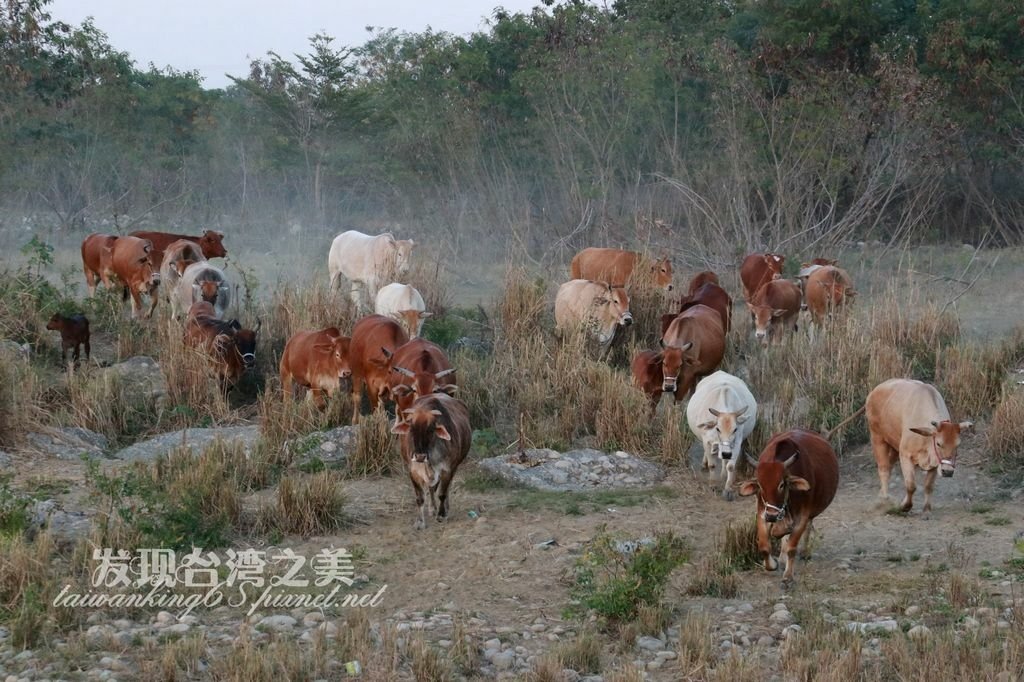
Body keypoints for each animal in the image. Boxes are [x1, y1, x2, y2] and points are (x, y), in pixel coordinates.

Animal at [389, 391, 473, 528]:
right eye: (412, 429)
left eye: (430, 429)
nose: (420, 456)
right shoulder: (413, 472)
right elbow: (420, 497)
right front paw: (420, 521)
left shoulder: (447, 470)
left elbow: (442, 493)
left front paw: (441, 515)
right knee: (431, 488)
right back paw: (432, 508)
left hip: (454, 467)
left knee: (445, 489)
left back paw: (446, 508)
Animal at [741, 430, 835, 585]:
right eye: (760, 485)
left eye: (781, 484)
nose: (772, 515)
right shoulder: (762, 513)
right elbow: (764, 547)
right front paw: (772, 564)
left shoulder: (802, 516)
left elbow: (792, 548)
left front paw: (788, 577)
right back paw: (782, 558)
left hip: (810, 513)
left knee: (808, 527)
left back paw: (804, 552)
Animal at [868, 376, 970, 509]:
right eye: (938, 443)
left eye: (958, 445)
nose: (947, 472)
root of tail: (874, 391)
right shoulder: (905, 455)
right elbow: (911, 485)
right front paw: (905, 506)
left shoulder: (934, 462)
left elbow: (928, 486)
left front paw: (927, 508)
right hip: (877, 437)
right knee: (883, 469)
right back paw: (884, 498)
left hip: (894, 445)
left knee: (889, 466)